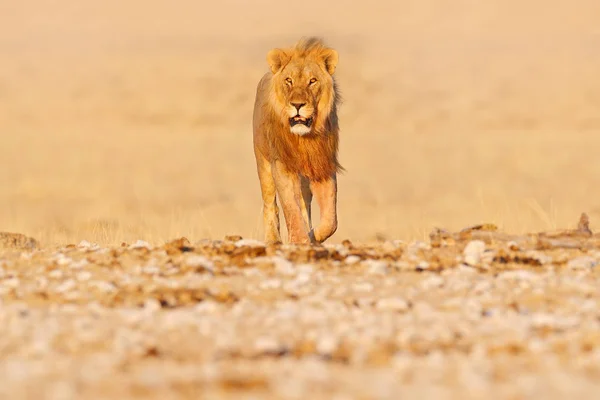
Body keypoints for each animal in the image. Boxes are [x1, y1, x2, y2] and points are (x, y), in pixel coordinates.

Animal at [252, 36, 344, 244]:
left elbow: (331, 221)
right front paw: (300, 240)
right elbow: (290, 208)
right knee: (271, 205)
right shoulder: (282, 166)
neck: (304, 139)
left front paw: (312, 237)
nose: (297, 105)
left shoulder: (323, 166)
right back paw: (273, 240)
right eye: (289, 80)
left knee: (304, 205)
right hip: (263, 162)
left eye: (312, 81)